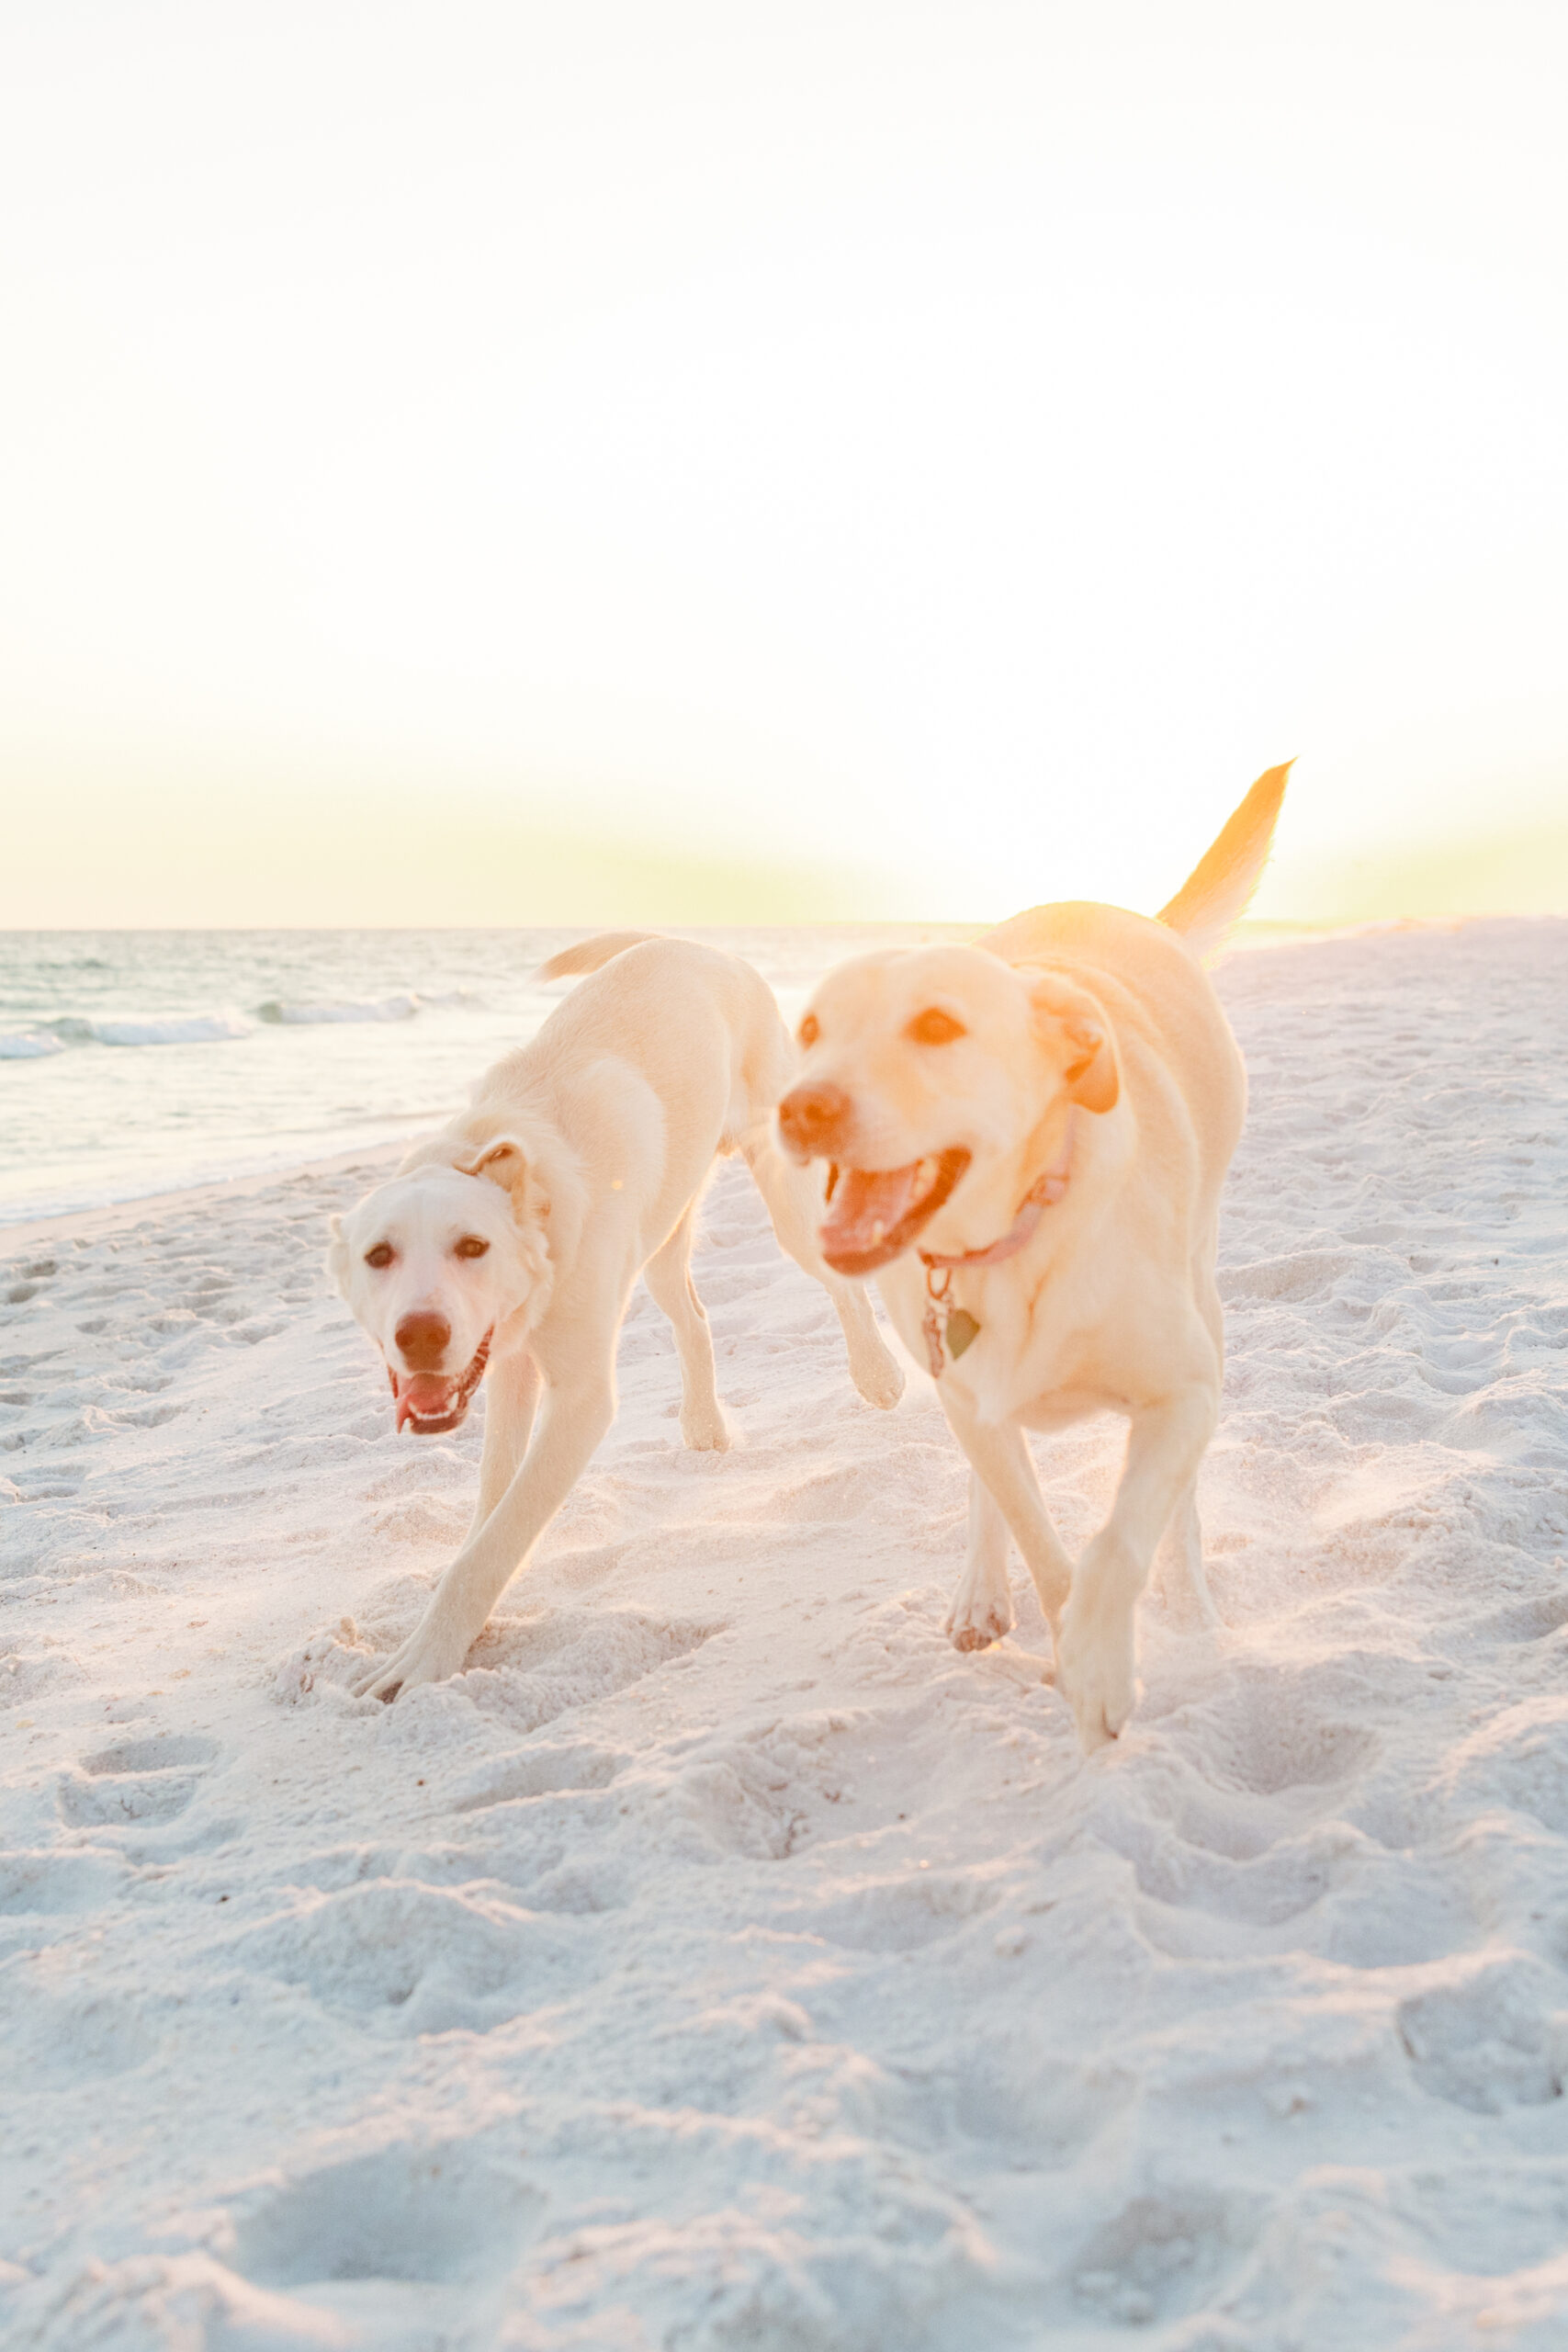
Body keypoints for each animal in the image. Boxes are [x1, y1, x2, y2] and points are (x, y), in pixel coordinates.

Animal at [333, 931, 907, 1693]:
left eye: (472, 1246)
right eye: (379, 1256)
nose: (420, 1336)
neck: (523, 1182)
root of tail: (689, 941)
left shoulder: (579, 1399)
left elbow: (500, 1535)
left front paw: (427, 1654)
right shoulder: (510, 1361)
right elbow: (492, 1503)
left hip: (784, 1189)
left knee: (840, 1282)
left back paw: (878, 1373)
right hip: (662, 1240)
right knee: (693, 1318)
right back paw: (704, 1423)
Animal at [771, 771, 1288, 1749]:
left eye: (938, 1025)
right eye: (811, 1030)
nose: (800, 1108)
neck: (1008, 1245)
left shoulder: (1182, 1393)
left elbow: (1121, 1535)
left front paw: (1102, 1660)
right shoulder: (967, 1396)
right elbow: (1041, 1543)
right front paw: (1067, 1645)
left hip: (1205, 1298)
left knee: (1178, 1505)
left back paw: (1190, 1600)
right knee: (989, 1482)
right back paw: (979, 1591)